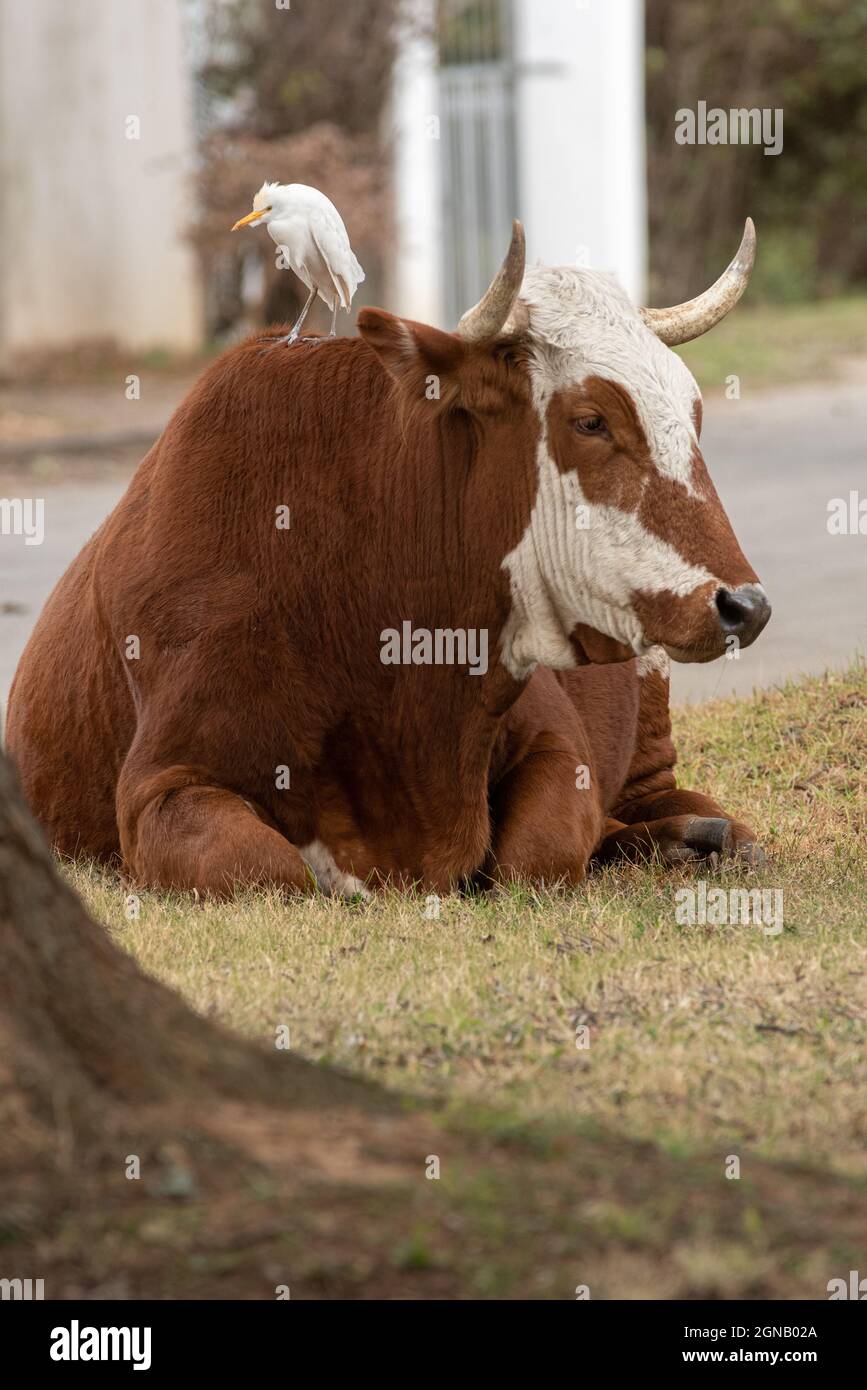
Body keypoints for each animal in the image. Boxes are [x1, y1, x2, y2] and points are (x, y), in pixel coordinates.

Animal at [5, 215, 772, 889]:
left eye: (694, 413)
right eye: (590, 421)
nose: (744, 605)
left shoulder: (554, 738)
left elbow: (539, 852)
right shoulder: (161, 783)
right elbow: (268, 870)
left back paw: (698, 835)